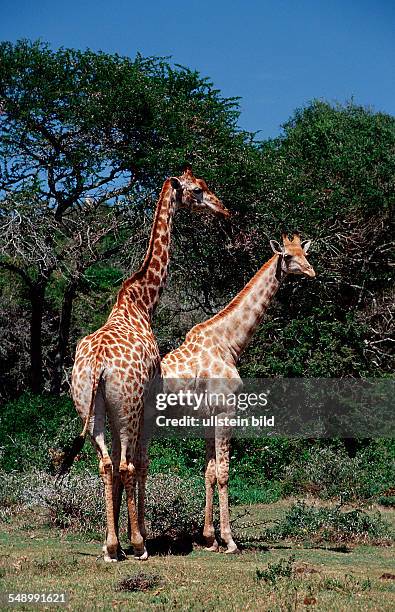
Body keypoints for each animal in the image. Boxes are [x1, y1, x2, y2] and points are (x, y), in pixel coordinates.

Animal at [60, 166, 230, 560]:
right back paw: (137, 545)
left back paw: (111, 547)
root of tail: (98, 365)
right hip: (129, 405)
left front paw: (116, 540)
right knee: (124, 464)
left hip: (90, 407)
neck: (140, 301)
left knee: (106, 464)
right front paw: (136, 538)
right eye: (198, 190)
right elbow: (140, 464)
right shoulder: (148, 401)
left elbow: (123, 465)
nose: (224, 210)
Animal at [161, 231, 316, 556]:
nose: (311, 272)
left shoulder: (207, 416)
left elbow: (208, 472)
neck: (229, 343)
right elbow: (223, 472)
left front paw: (209, 539)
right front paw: (229, 541)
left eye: (306, 254)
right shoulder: (226, 410)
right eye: (288, 256)